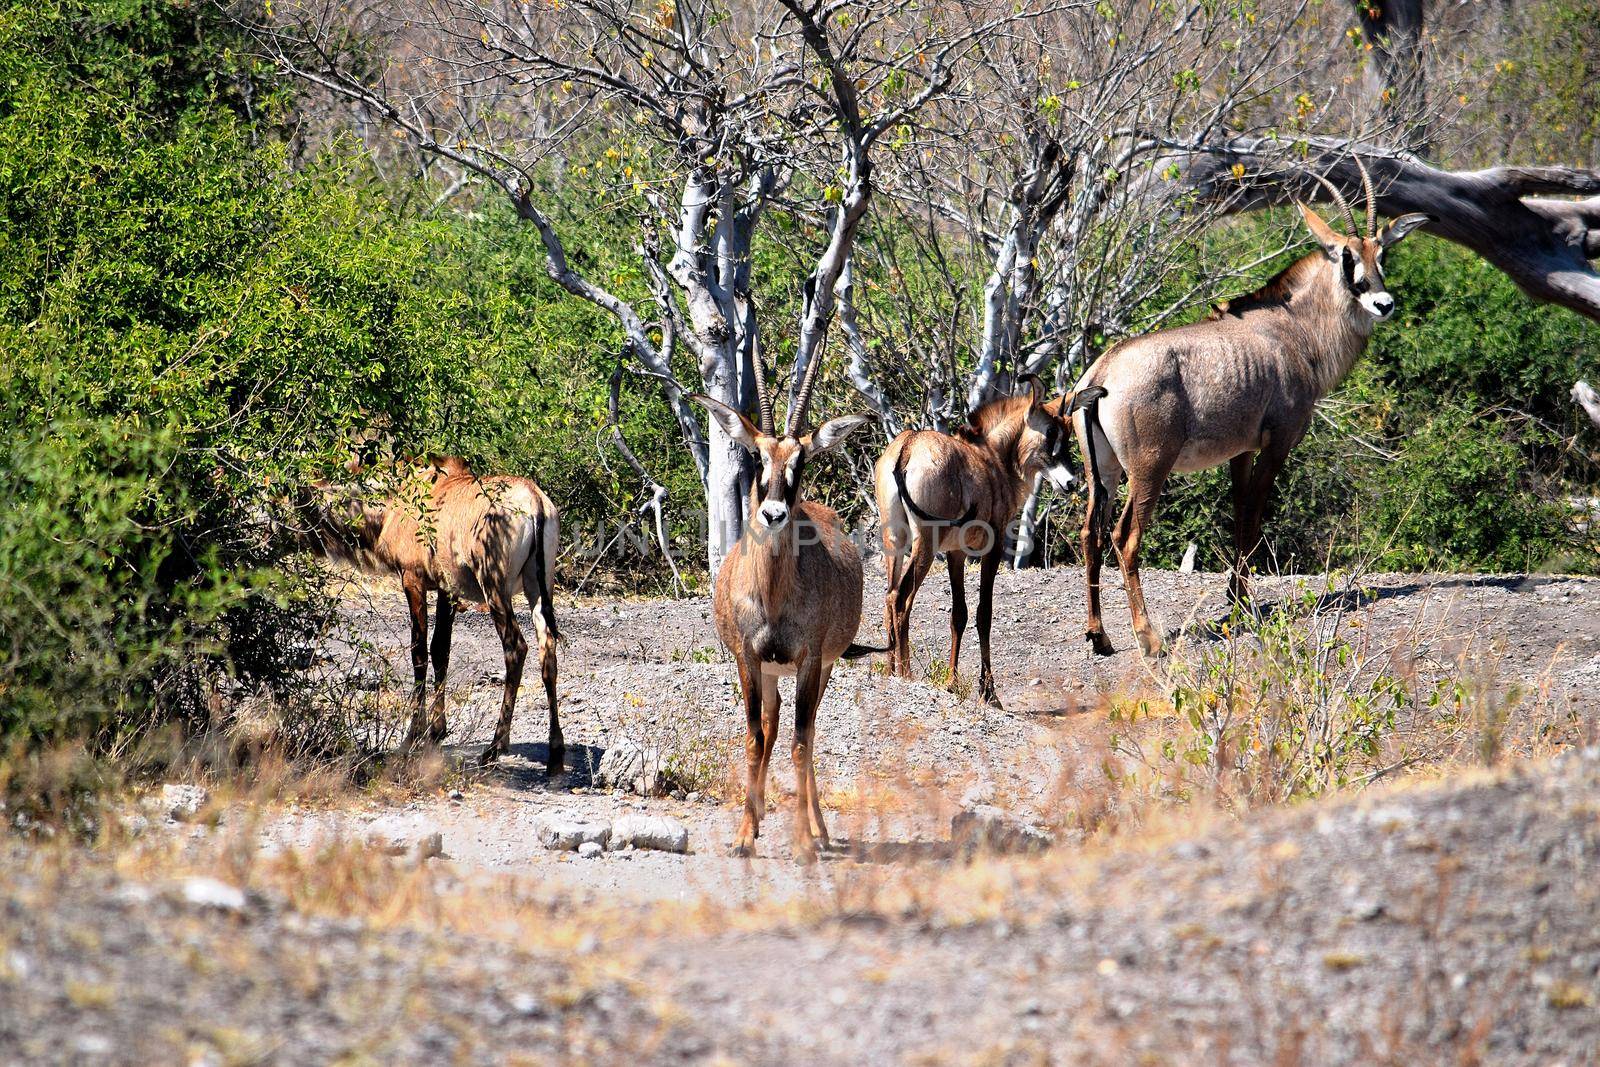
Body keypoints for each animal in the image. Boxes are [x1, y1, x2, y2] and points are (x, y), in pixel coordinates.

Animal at [291, 454, 566, 771]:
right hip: (539, 589)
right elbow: (441, 650)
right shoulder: (448, 588)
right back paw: (555, 754)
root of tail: (535, 502)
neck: (396, 500)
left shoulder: (412, 579)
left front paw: (413, 734)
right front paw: (437, 730)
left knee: (516, 648)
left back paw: (495, 747)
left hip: (494, 587)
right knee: (548, 649)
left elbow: (419, 651)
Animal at [694, 337, 883, 863]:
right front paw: (743, 835)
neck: (775, 595)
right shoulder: (748, 658)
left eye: (801, 460)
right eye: (757, 457)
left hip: (821, 668)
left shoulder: (808, 659)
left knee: (808, 731)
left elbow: (801, 742)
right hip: (770, 671)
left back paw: (818, 829)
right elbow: (755, 738)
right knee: (772, 724)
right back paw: (759, 819)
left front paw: (802, 841)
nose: (775, 513)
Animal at [876, 377, 1100, 710]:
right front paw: (990, 694)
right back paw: (906, 673)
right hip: (925, 542)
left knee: (890, 595)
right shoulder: (992, 546)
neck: (993, 457)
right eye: (1050, 431)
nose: (1071, 482)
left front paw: (952, 683)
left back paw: (891, 669)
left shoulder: (955, 552)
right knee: (902, 597)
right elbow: (984, 613)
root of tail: (908, 447)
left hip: (894, 540)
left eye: (1068, 430)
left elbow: (958, 614)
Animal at [1081, 161, 1433, 655]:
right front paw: (1241, 605)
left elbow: (1239, 511)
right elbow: (1255, 514)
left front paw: (1236, 597)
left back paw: (1099, 637)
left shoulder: (1241, 450)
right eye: (1346, 258)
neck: (1295, 328)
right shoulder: (1278, 441)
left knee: (1091, 535)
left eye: (1380, 253)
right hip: (1149, 469)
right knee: (1124, 538)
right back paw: (1147, 636)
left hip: (1105, 472)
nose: (1383, 303)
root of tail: (1103, 371)